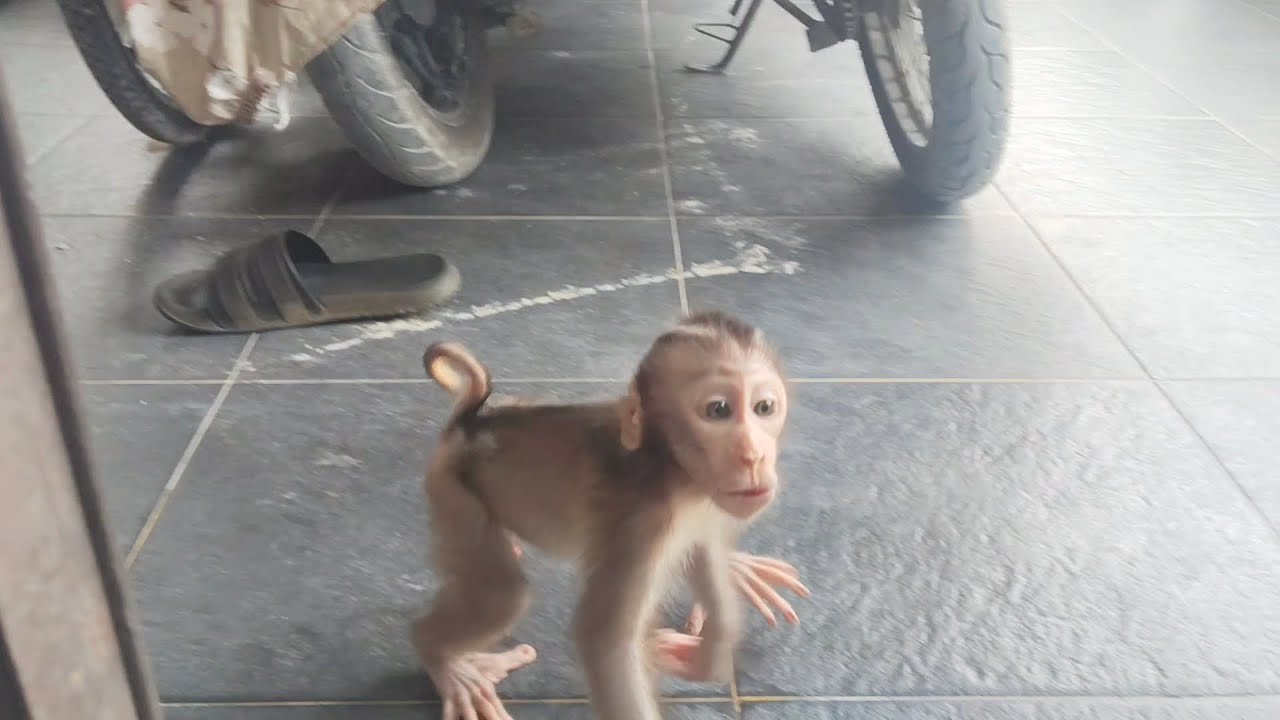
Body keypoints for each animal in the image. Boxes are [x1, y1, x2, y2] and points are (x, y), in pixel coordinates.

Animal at [412, 311, 807, 720]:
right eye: (718, 410)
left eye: (764, 408)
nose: (753, 456)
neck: (672, 470)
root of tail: (469, 426)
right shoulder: (640, 524)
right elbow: (604, 641)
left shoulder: (697, 512)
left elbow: (700, 552)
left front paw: (709, 653)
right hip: (453, 492)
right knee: (503, 594)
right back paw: (444, 661)